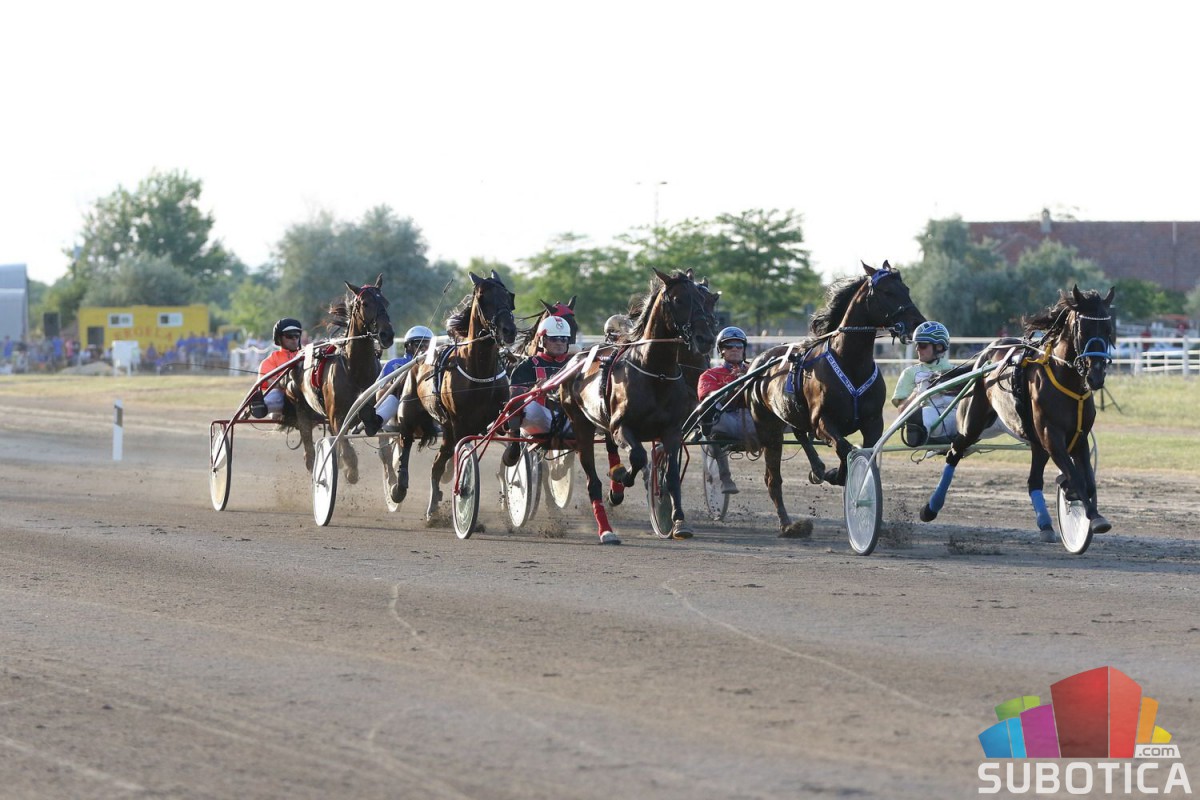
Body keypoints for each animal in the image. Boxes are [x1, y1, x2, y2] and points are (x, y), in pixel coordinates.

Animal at [294, 275, 395, 484]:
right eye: (365, 303)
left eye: (386, 302)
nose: (387, 335)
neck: (355, 370)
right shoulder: (337, 417)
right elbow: (346, 447)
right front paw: (350, 471)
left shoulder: (374, 411)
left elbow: (384, 448)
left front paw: (392, 480)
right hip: (302, 407)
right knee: (308, 439)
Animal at [392, 270, 518, 518]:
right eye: (482, 297)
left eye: (509, 296)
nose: (509, 330)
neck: (478, 370)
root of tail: (418, 359)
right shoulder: (460, 423)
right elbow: (464, 455)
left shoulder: (496, 414)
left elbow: (513, 431)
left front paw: (511, 456)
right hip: (411, 413)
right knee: (406, 442)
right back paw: (400, 490)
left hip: (447, 431)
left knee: (437, 466)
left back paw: (433, 507)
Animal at [559, 269, 718, 543]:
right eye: (679, 300)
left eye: (703, 298)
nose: (705, 339)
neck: (655, 372)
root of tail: (576, 358)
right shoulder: (622, 427)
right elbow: (638, 456)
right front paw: (623, 479)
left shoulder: (672, 430)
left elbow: (671, 475)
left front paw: (679, 522)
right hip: (581, 425)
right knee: (593, 481)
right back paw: (606, 527)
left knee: (611, 449)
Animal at [745, 261, 925, 536]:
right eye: (887, 291)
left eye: (906, 289)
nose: (918, 323)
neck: (850, 363)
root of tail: (758, 361)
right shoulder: (822, 421)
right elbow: (843, 447)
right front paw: (836, 475)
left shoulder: (873, 422)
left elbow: (861, 449)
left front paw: (837, 475)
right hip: (768, 428)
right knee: (772, 478)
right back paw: (788, 524)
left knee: (800, 433)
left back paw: (817, 470)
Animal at [919, 286, 1116, 538]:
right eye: (1083, 329)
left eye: (1109, 329)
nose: (1096, 376)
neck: (1065, 378)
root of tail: (988, 351)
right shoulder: (1051, 436)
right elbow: (1076, 477)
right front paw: (1092, 514)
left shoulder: (1078, 437)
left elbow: (1087, 482)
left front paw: (1079, 501)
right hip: (973, 423)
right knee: (954, 452)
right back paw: (930, 508)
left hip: (1035, 441)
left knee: (1033, 481)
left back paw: (1045, 525)